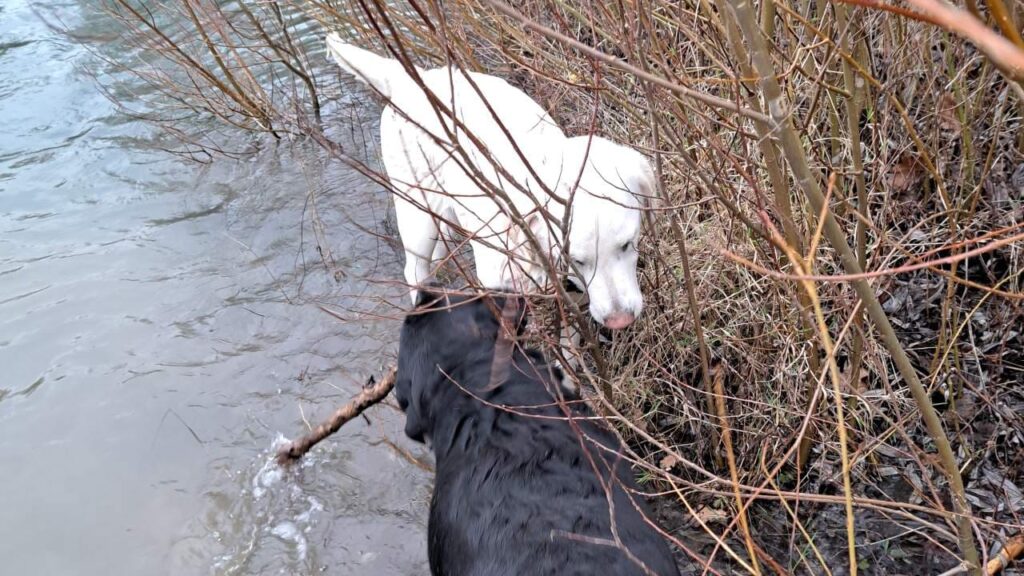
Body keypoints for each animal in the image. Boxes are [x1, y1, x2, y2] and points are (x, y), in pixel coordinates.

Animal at [323, 35, 651, 330]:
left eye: (627, 245)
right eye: (576, 261)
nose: (620, 321)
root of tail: (411, 80)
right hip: (416, 215)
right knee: (415, 270)